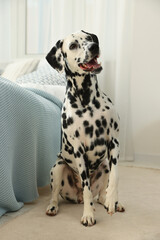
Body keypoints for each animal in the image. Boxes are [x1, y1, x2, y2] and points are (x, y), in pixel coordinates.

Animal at [45, 29, 124, 225]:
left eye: (89, 38)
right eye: (73, 45)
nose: (94, 47)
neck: (87, 100)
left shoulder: (114, 142)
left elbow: (115, 177)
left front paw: (113, 200)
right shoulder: (78, 150)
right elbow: (87, 188)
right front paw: (88, 214)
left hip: (104, 165)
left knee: (101, 194)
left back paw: (110, 202)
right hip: (57, 167)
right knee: (55, 195)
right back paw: (53, 207)